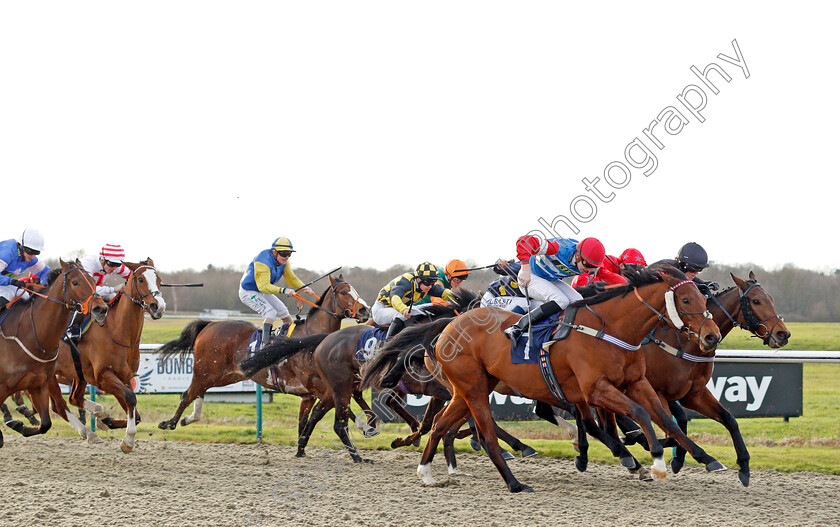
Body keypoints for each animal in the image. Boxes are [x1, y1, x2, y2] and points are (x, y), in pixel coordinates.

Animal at [0, 262, 108, 448]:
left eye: (94, 280)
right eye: (75, 282)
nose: (100, 309)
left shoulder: (38, 384)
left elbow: (45, 424)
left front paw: (18, 424)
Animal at [52, 260, 166, 454]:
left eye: (159, 280)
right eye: (141, 279)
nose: (158, 306)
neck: (117, 331)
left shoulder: (124, 377)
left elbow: (134, 411)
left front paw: (107, 420)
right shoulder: (103, 376)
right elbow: (130, 398)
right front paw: (128, 440)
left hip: (78, 375)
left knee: (73, 398)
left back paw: (98, 415)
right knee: (60, 405)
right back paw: (90, 433)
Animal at [157, 276, 368, 442]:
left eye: (356, 290)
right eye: (344, 292)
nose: (365, 311)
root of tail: (209, 325)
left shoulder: (309, 393)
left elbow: (306, 422)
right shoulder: (316, 386)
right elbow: (343, 405)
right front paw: (364, 425)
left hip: (224, 375)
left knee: (198, 392)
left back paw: (188, 419)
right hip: (206, 372)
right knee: (187, 394)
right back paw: (169, 423)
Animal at [414, 268, 720, 496]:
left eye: (703, 298)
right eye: (686, 300)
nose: (712, 336)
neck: (611, 329)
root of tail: (449, 327)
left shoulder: (636, 382)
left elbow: (666, 420)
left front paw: (705, 457)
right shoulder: (596, 389)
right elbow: (639, 413)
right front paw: (656, 461)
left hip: (468, 390)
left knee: (440, 424)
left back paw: (426, 473)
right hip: (474, 389)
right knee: (486, 436)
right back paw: (516, 484)